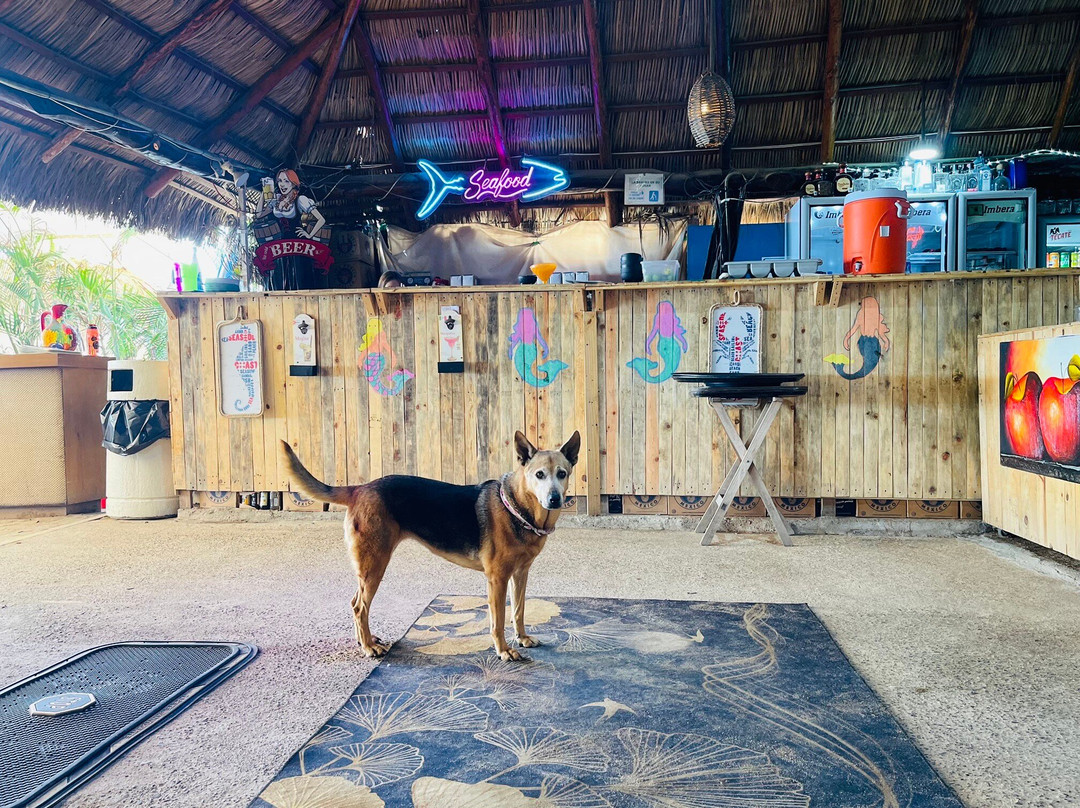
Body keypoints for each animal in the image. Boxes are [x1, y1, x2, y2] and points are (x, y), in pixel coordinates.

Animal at [280, 430, 580, 662]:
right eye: (539, 474)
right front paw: (504, 651)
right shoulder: (497, 579)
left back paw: (365, 640)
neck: (518, 508)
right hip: (375, 566)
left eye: (561, 474)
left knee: (355, 603)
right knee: (359, 608)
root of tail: (360, 488)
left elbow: (518, 612)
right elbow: (498, 620)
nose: (554, 499)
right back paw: (368, 647)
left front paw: (523, 638)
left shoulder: (520, 575)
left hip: (368, 568)